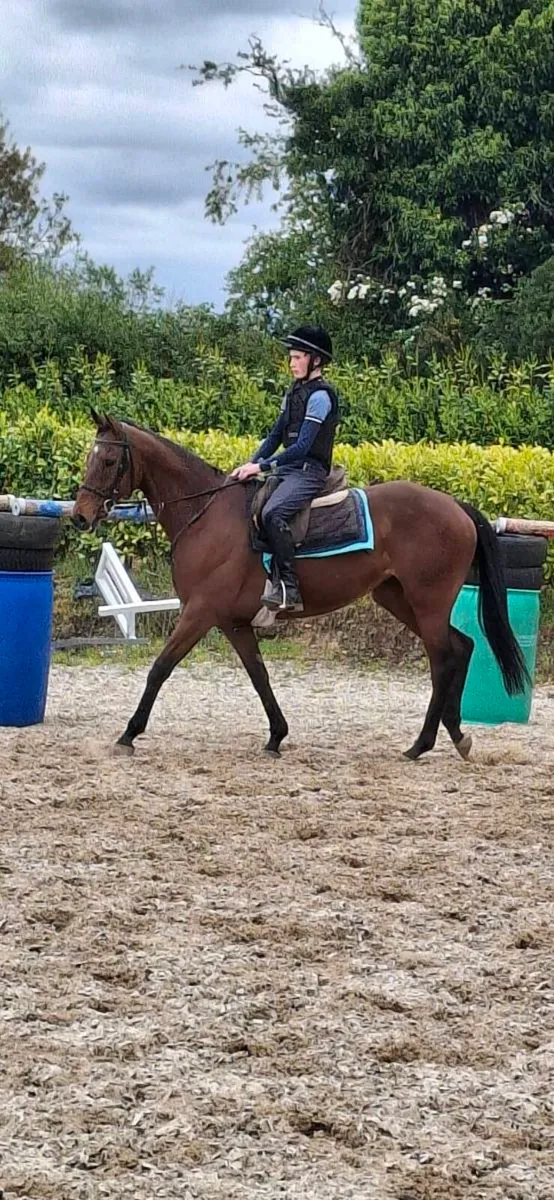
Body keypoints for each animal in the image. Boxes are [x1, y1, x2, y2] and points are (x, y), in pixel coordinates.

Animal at [72, 411, 527, 761]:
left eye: (109, 460)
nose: (80, 516)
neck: (207, 514)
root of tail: (455, 506)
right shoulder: (233, 622)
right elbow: (260, 676)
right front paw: (276, 736)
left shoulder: (200, 612)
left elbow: (159, 669)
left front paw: (128, 734)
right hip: (397, 598)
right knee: (461, 647)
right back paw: (456, 735)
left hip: (427, 602)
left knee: (443, 658)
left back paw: (423, 743)